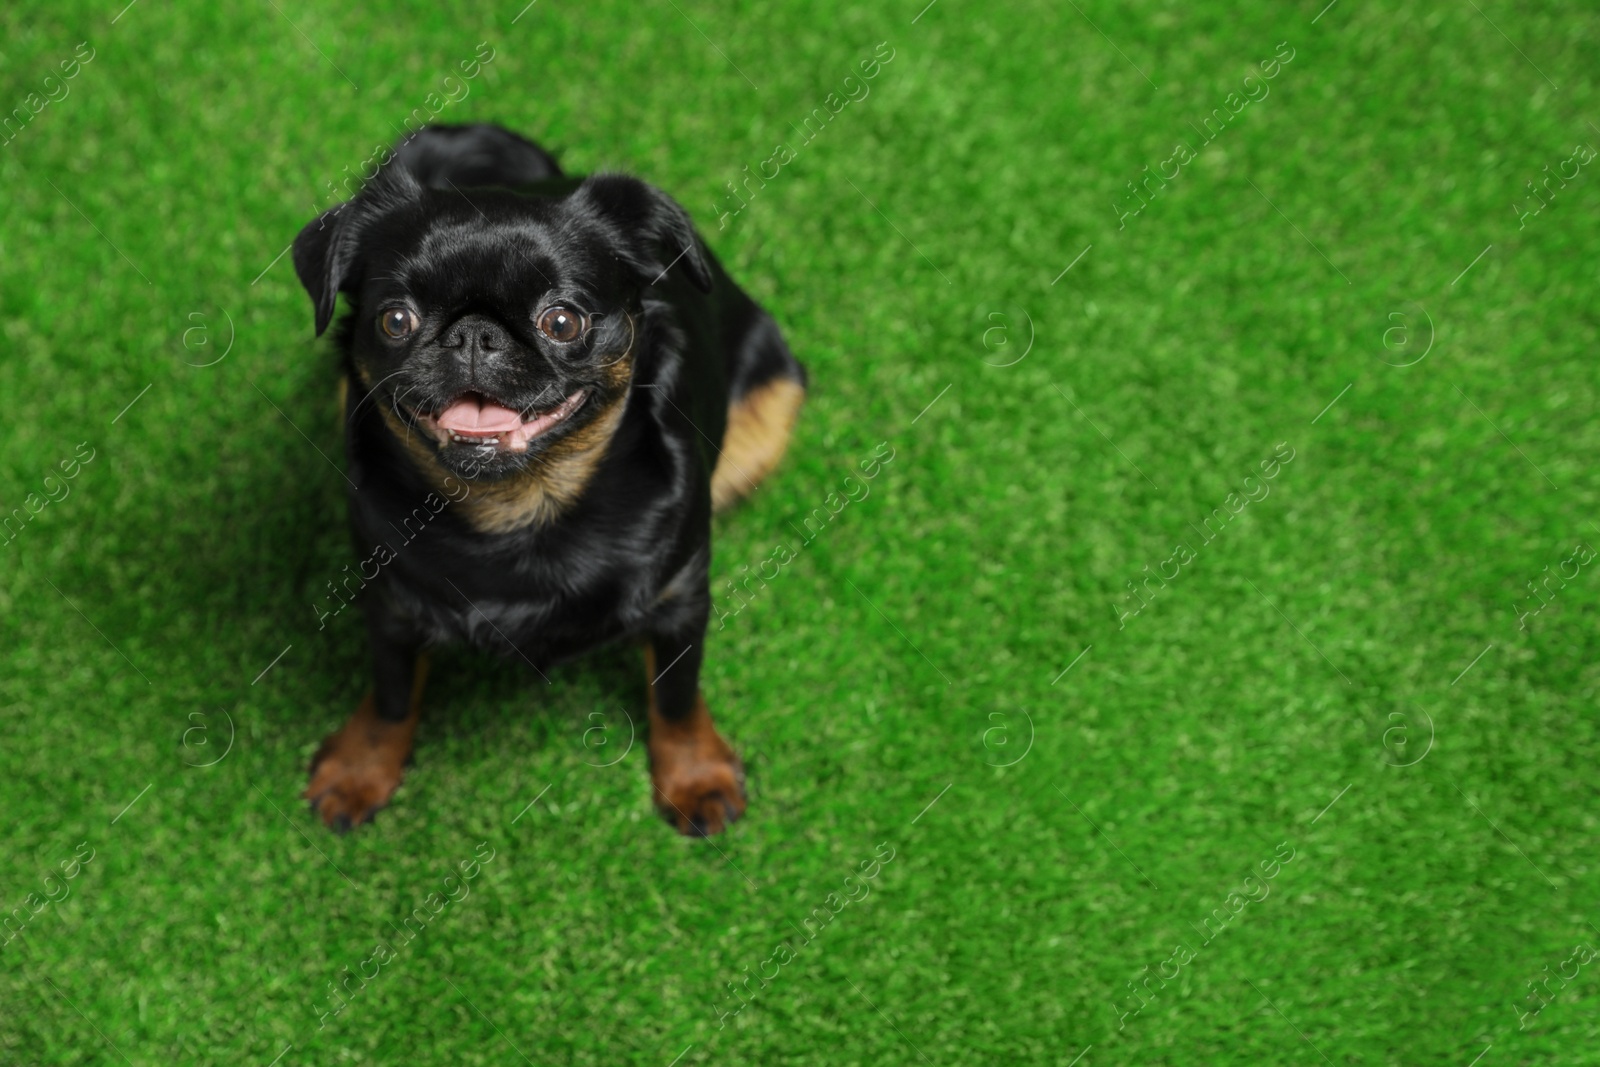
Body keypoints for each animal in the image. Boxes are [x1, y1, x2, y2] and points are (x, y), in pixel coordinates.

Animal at [289, 125, 806, 838]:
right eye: (396, 320)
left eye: (562, 322)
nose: (474, 335)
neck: (520, 510)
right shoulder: (389, 603)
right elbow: (391, 694)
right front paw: (361, 768)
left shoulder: (679, 598)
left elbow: (675, 696)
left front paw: (695, 775)